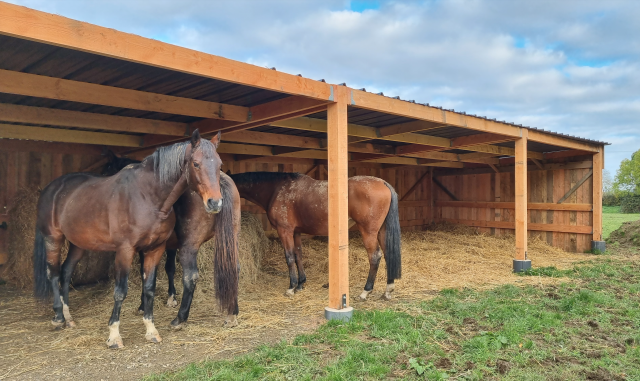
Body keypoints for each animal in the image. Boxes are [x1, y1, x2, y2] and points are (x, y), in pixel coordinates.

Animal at [102, 153, 242, 328]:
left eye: (108, 168)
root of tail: (220, 181)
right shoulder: (169, 245)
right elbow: (169, 268)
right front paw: (171, 297)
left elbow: (145, 273)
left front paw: (143, 305)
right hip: (231, 240)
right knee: (235, 269)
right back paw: (232, 314)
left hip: (189, 247)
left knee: (190, 277)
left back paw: (180, 318)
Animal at [229, 172, 400, 300]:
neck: (277, 189)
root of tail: (383, 183)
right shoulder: (296, 232)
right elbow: (298, 255)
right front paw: (300, 284)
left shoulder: (284, 230)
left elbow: (289, 257)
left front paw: (291, 287)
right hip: (382, 231)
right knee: (388, 254)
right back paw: (388, 290)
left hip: (368, 232)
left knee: (375, 256)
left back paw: (365, 291)